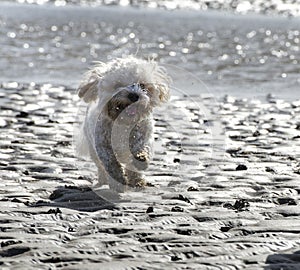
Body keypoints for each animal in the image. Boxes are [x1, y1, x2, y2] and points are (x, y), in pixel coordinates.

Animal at [76, 56, 171, 192]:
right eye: (118, 85)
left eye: (142, 85)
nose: (134, 95)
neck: (123, 123)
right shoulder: (102, 146)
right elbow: (111, 163)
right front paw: (118, 181)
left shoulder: (144, 135)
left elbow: (141, 147)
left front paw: (140, 158)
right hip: (92, 149)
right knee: (100, 166)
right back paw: (103, 180)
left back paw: (137, 180)